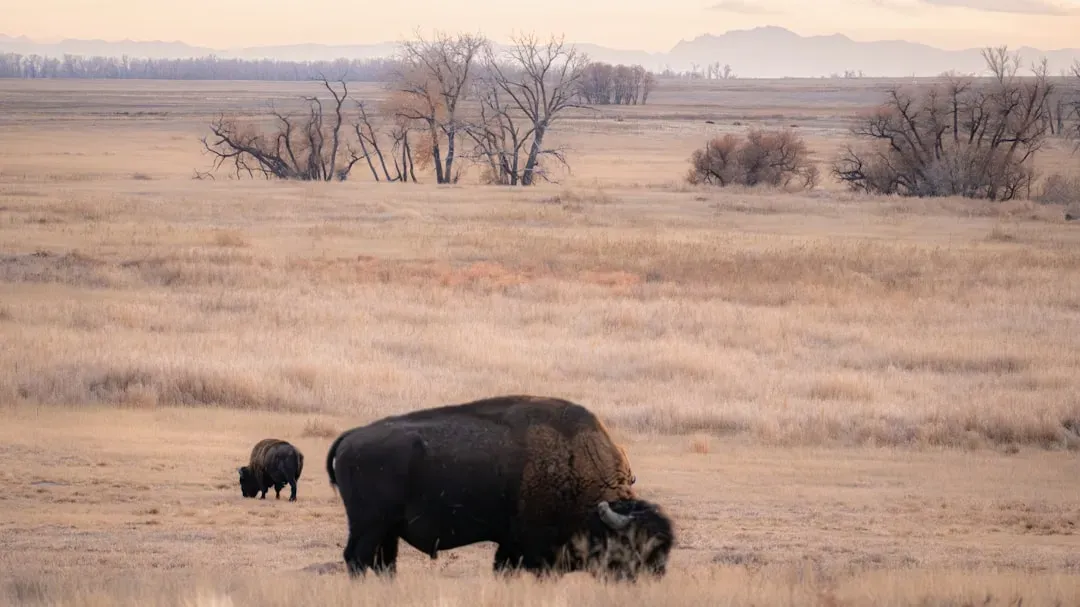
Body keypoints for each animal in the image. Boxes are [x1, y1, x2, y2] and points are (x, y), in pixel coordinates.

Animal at [325, 394, 674, 581]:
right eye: (633, 546)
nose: (652, 578)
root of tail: (351, 436)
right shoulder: (531, 550)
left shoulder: (510, 547)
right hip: (369, 526)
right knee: (357, 559)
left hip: (388, 531)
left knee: (384, 565)